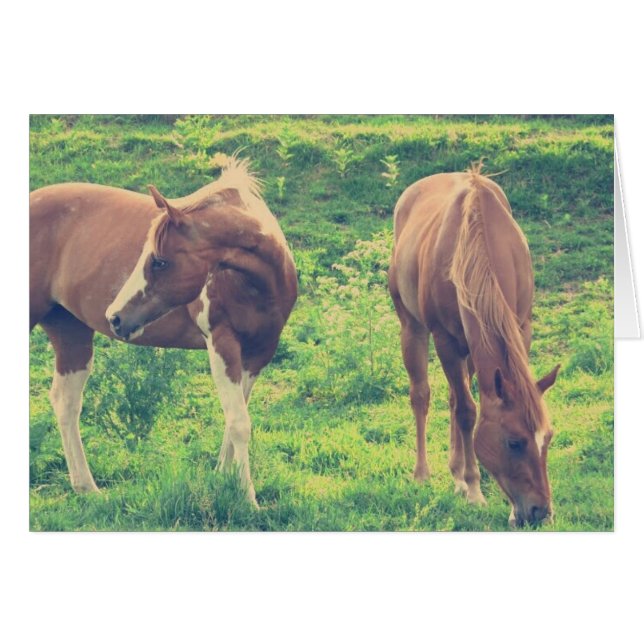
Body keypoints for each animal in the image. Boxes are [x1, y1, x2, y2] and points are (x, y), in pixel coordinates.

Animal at [30, 156, 298, 507]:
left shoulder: (259, 352)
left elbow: (235, 417)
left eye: (158, 261)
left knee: (66, 401)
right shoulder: (222, 344)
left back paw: (86, 487)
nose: (115, 317)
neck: (260, 282)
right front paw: (248, 499)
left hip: (71, 332)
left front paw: (224, 479)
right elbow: (239, 422)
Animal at [388, 166, 560, 527]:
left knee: (454, 397)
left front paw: (469, 483)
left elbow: (465, 405)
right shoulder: (446, 341)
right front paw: (474, 488)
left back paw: (455, 474)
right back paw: (424, 474)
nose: (540, 512)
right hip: (413, 329)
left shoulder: (520, 329)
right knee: (422, 396)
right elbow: (468, 412)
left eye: (548, 438)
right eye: (514, 442)